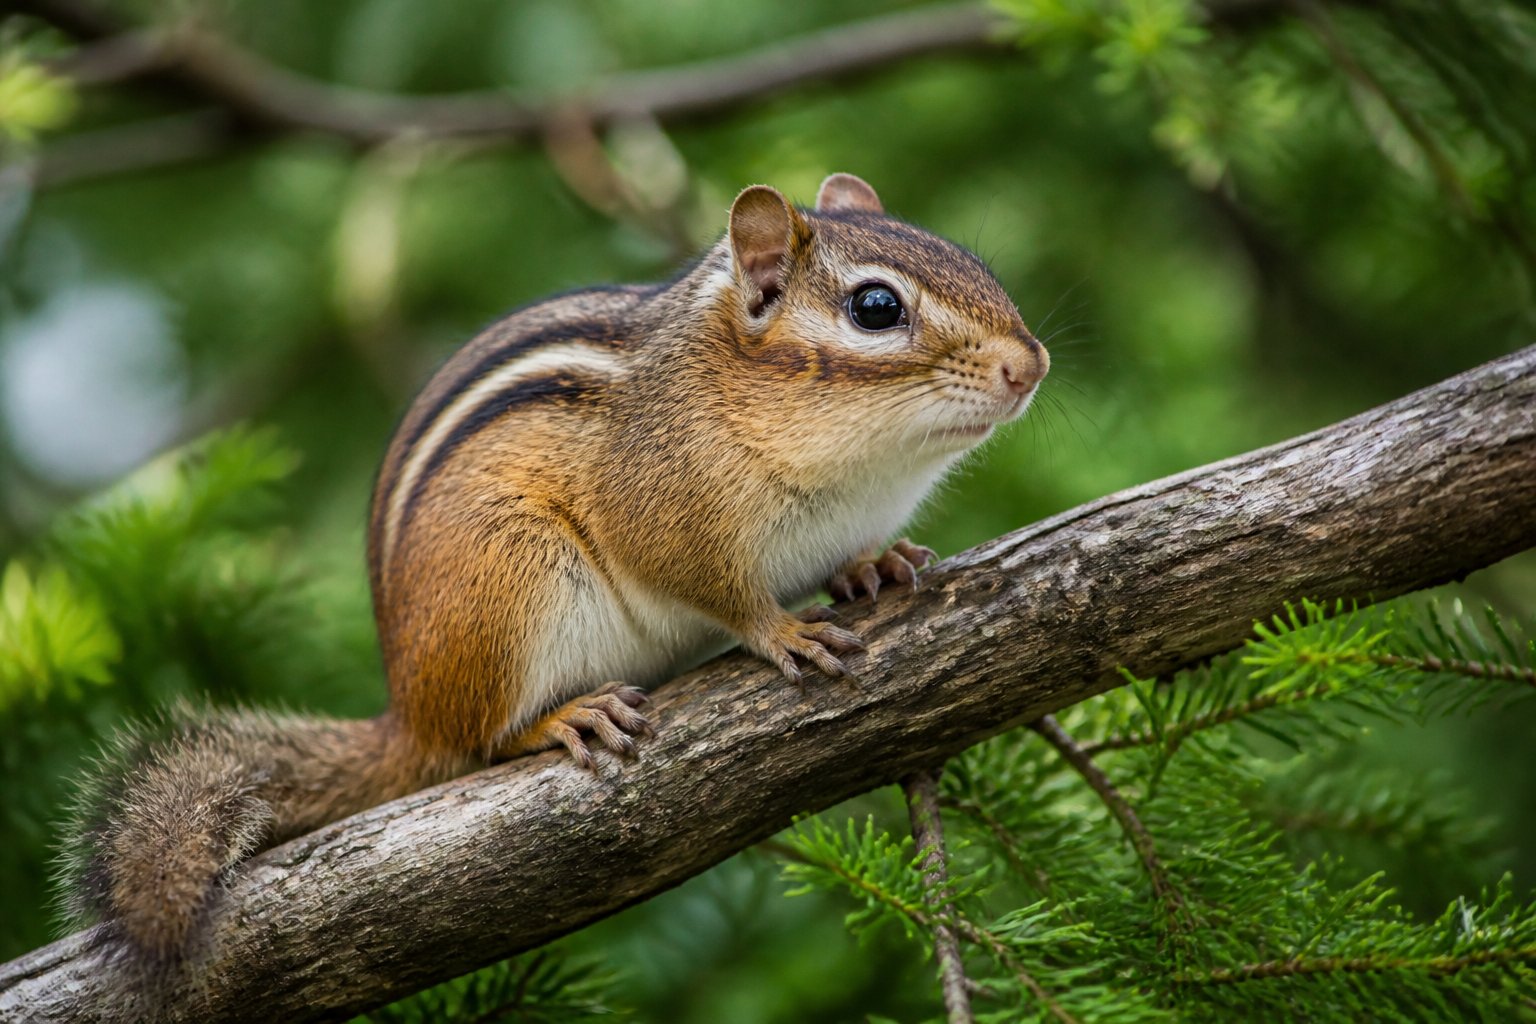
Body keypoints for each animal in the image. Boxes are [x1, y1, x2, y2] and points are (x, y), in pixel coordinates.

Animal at [57, 173, 1048, 971]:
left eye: (970, 260)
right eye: (876, 308)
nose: (1030, 363)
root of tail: (407, 709)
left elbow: (856, 553)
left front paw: (879, 564)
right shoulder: (665, 511)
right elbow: (718, 591)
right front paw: (785, 630)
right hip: (513, 584)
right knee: (478, 743)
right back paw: (562, 718)